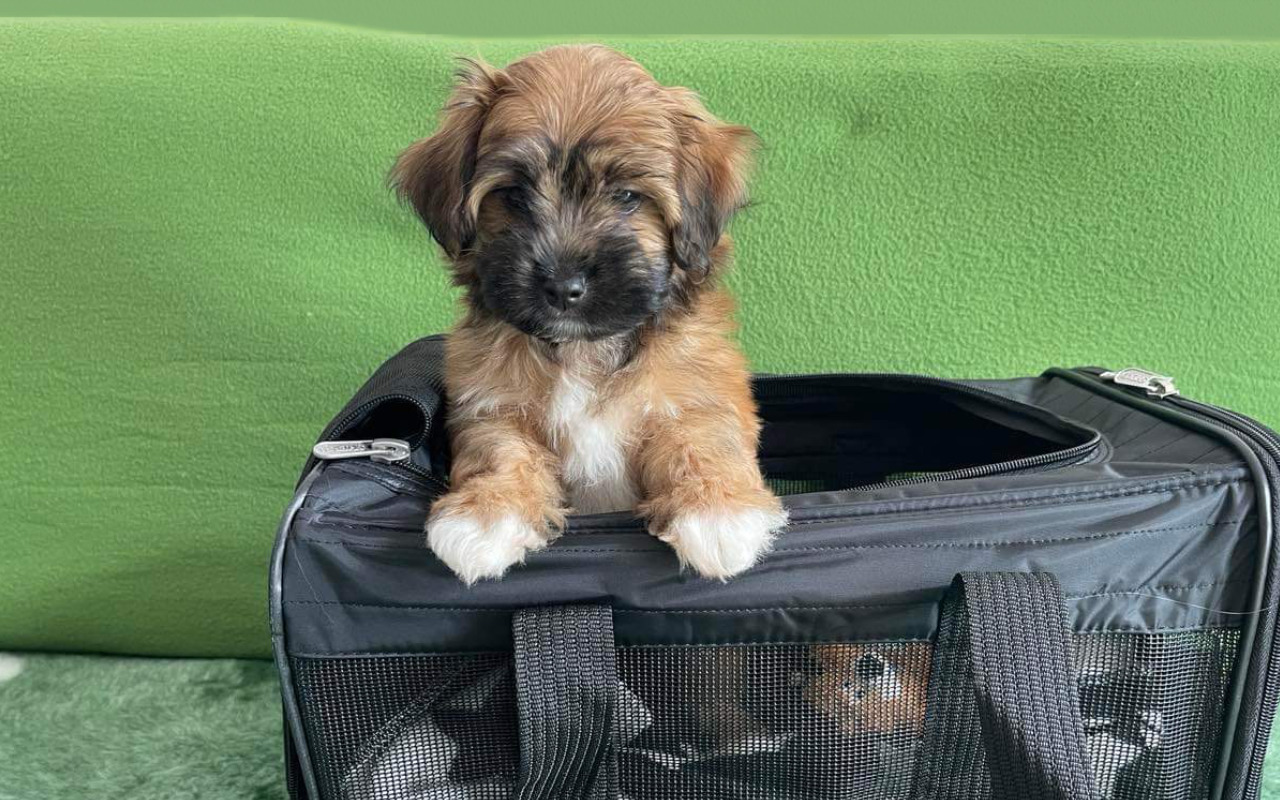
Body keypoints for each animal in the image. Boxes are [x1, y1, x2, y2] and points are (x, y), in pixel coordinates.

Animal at [394, 45, 783, 581]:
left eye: (626, 196)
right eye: (513, 195)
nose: (563, 286)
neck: (585, 350)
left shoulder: (699, 393)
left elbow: (701, 439)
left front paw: (718, 513)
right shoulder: (490, 403)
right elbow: (501, 450)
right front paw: (487, 515)